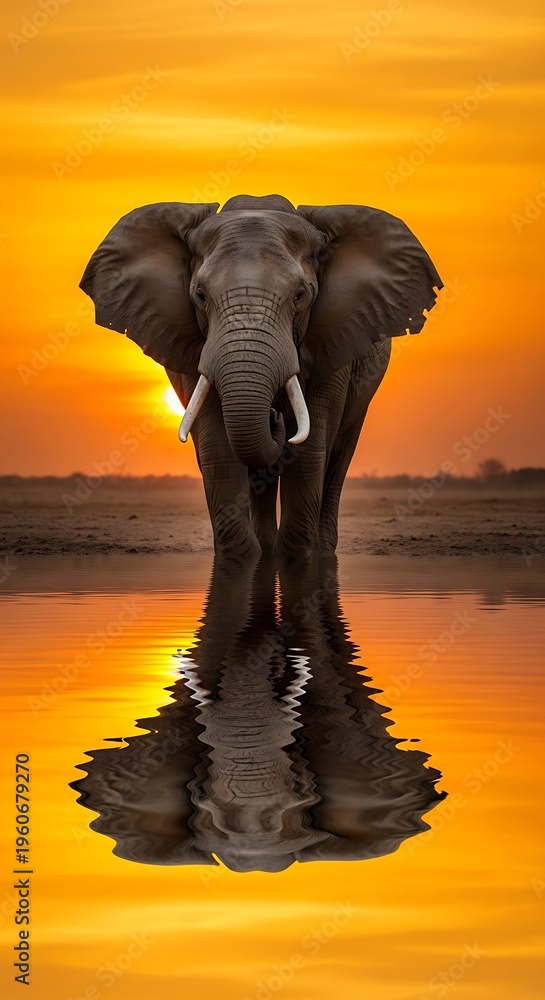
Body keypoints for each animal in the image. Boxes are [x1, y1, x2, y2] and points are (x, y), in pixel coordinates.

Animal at [80, 194, 442, 558]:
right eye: (200, 295)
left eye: (300, 295)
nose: (273, 416)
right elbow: (216, 444)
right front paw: (241, 556)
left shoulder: (334, 337)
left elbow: (312, 443)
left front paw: (298, 556)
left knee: (338, 455)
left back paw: (320, 549)